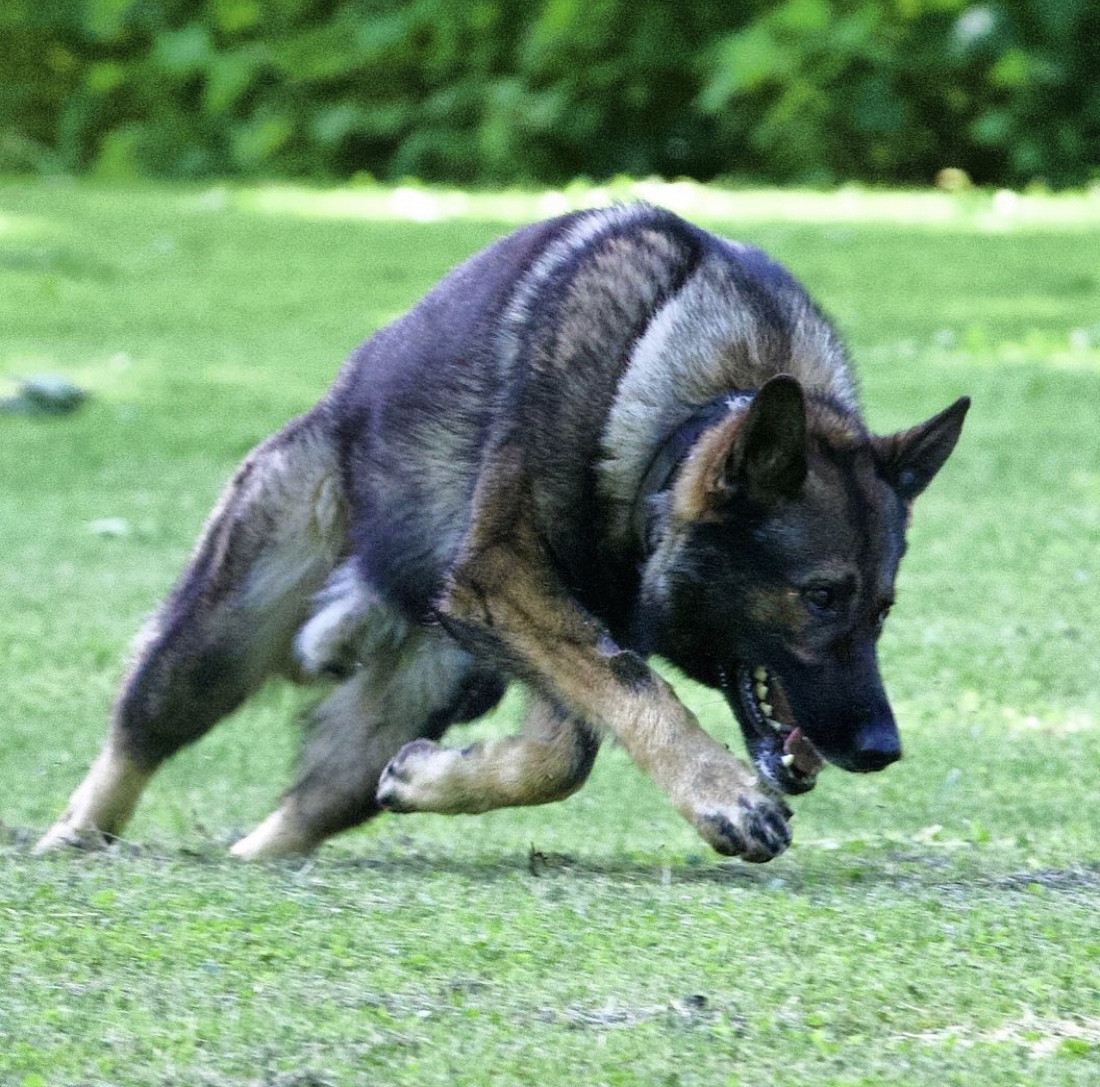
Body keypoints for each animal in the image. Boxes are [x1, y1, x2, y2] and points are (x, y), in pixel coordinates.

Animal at [34, 203, 968, 862]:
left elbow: (572, 747)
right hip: (224, 634)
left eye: (882, 608)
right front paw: (720, 794)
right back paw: (72, 837)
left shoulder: (564, 636)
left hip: (430, 685)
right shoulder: (504, 580)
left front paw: (432, 779)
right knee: (141, 729)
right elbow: (635, 691)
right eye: (820, 596)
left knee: (310, 806)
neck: (683, 418)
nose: (883, 748)